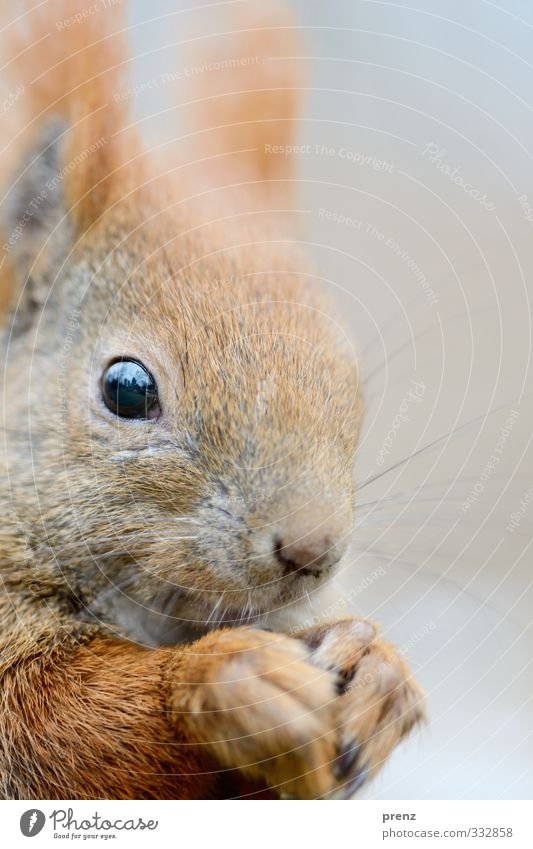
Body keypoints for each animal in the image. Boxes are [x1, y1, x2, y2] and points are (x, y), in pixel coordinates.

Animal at [0, 0, 424, 800]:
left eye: (348, 378)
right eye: (127, 389)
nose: (312, 551)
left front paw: (380, 675)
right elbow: (43, 721)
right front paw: (227, 676)